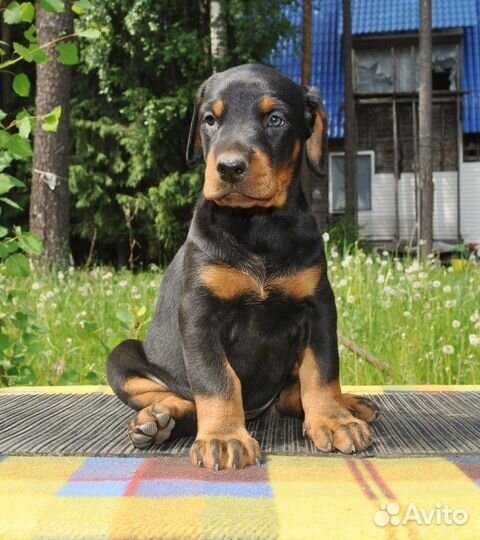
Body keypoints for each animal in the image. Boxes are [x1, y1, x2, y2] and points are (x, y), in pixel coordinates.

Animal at [108, 62, 378, 468]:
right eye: (210, 120)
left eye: (276, 119)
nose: (230, 168)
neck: (258, 226)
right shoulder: (200, 313)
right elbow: (217, 380)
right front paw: (223, 438)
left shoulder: (318, 306)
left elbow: (322, 369)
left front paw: (333, 420)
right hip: (123, 357)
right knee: (178, 396)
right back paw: (159, 418)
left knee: (291, 393)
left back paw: (347, 405)